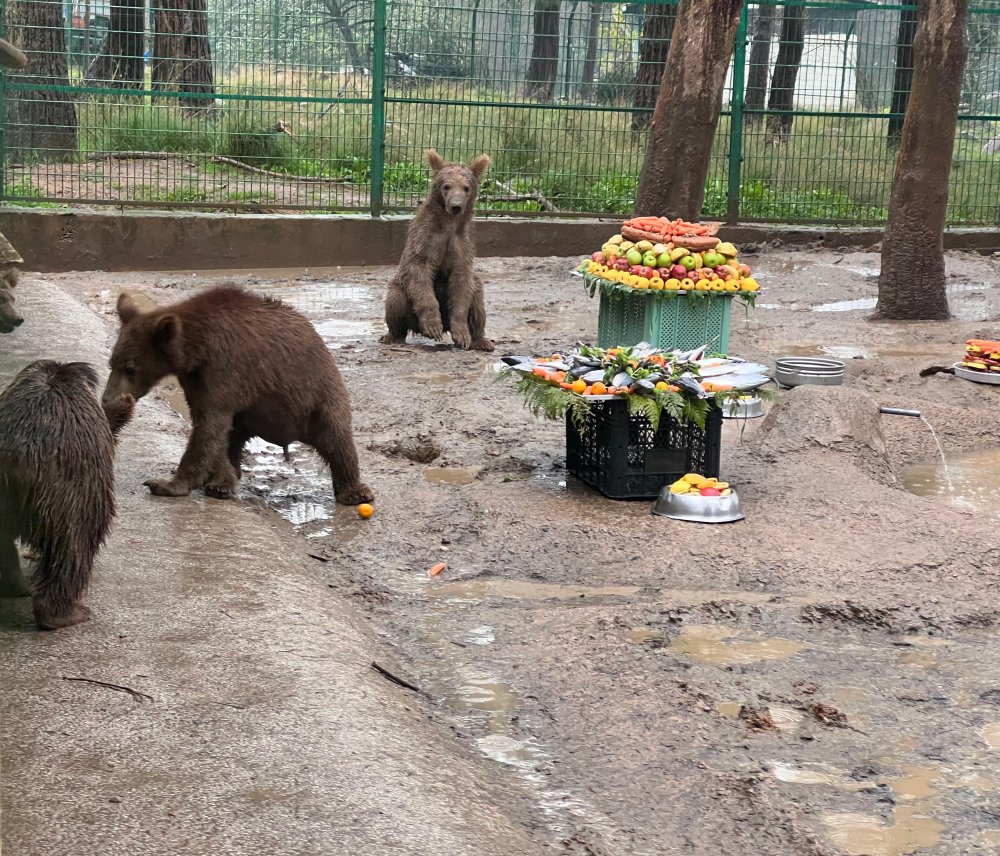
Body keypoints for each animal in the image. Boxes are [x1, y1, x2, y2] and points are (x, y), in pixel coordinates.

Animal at [103, 284, 376, 504]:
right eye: (112, 363)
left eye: (130, 367)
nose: (107, 398)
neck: (196, 350)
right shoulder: (198, 381)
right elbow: (212, 429)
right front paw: (219, 481)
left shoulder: (226, 370)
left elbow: (209, 427)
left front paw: (166, 484)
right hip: (255, 413)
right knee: (235, 436)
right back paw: (223, 479)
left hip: (316, 395)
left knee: (336, 437)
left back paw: (355, 491)